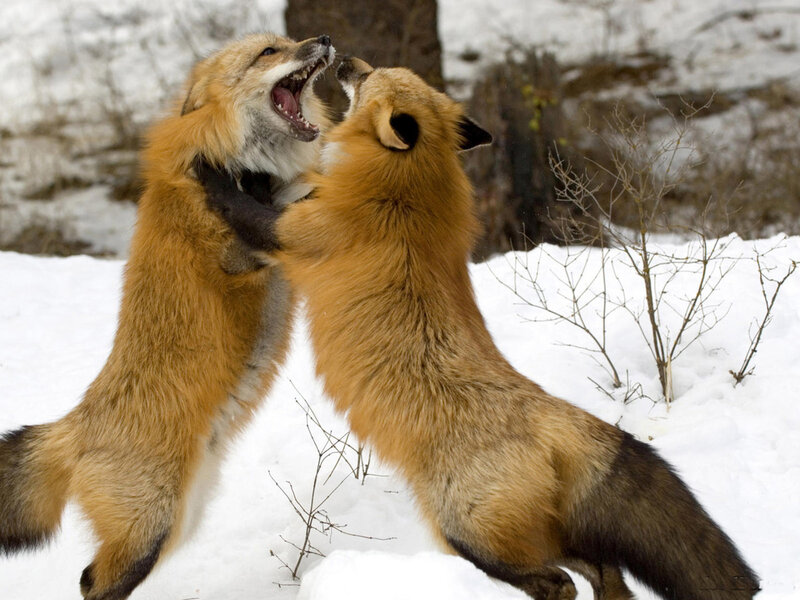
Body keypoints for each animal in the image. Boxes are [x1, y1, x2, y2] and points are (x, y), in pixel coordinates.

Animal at [0, 33, 334, 600]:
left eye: (288, 42)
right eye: (268, 53)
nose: (324, 40)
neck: (233, 160)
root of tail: (73, 427)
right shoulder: (242, 254)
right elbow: (284, 208)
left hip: (182, 519)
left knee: (90, 577)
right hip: (152, 528)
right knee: (93, 583)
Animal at [198, 57, 761, 600]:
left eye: (369, 75)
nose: (342, 57)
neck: (405, 192)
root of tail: (556, 415)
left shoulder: (295, 232)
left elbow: (239, 205)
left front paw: (212, 169)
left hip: (466, 532)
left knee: (559, 582)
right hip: (539, 534)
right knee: (607, 573)